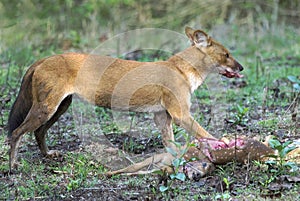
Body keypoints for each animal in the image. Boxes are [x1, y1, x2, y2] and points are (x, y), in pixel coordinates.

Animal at [7, 26, 244, 171]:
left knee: (38, 132)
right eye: (226, 54)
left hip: (60, 107)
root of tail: (43, 58)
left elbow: (171, 144)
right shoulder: (180, 114)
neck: (182, 70)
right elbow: (207, 134)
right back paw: (12, 166)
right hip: (47, 108)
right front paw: (227, 144)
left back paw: (49, 156)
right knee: (16, 133)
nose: (241, 68)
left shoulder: (162, 116)